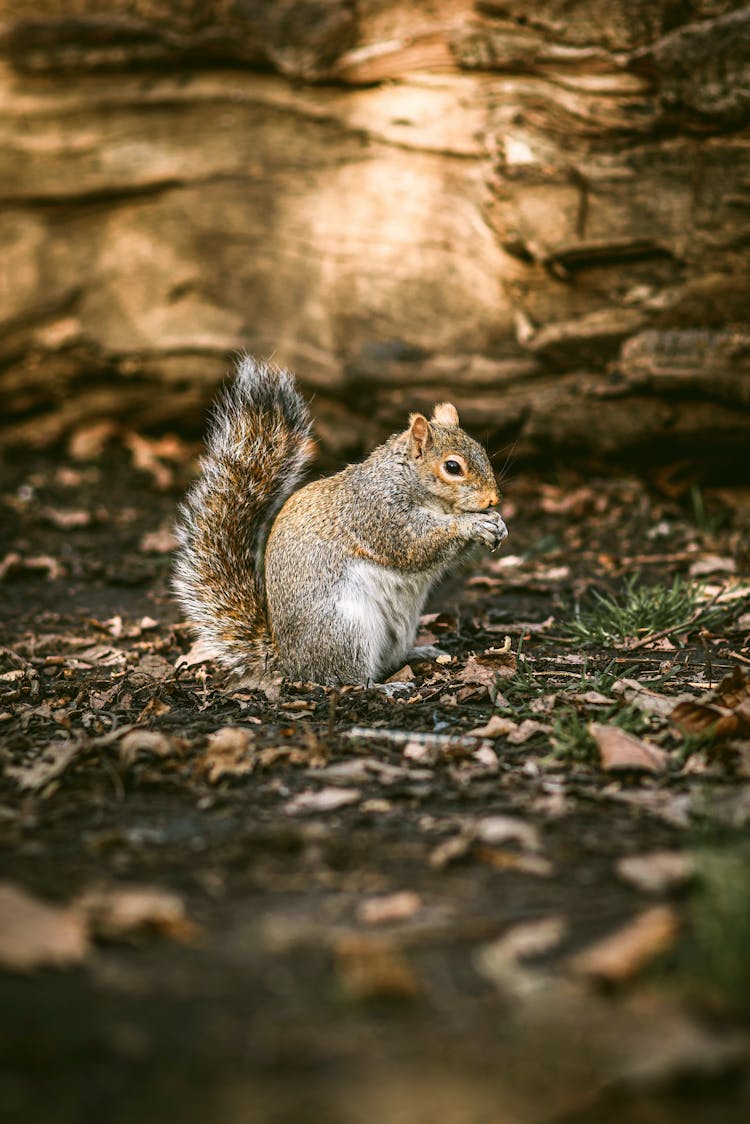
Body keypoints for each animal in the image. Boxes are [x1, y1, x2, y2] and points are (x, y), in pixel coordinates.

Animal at [173, 355, 508, 683]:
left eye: (482, 450)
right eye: (452, 467)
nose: (493, 499)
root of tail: (289, 661)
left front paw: (497, 522)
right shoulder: (378, 514)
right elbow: (415, 544)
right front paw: (472, 524)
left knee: (390, 658)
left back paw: (419, 653)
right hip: (347, 628)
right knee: (348, 677)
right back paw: (386, 687)